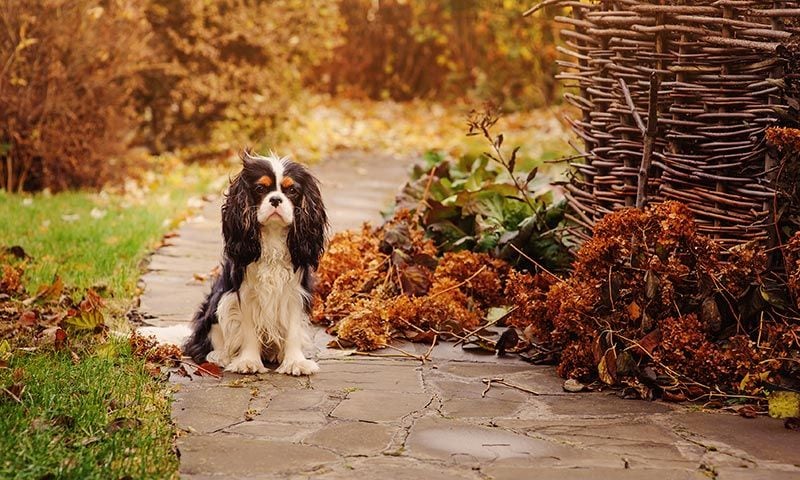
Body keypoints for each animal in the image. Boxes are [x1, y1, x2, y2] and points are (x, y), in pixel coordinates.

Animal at [184, 152, 324, 376]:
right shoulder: (245, 294)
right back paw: (220, 356)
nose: (275, 199)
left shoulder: (294, 294)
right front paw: (248, 362)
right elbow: (248, 330)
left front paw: (295, 362)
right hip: (219, 301)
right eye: (260, 189)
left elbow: (293, 330)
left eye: (292, 190)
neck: (273, 237)